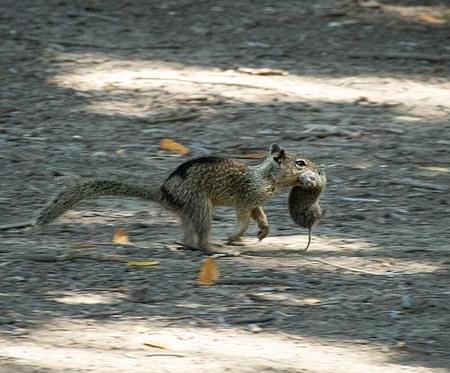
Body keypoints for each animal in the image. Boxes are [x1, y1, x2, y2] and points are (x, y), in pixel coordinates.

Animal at [1, 142, 322, 253]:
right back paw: (217, 248)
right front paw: (235, 236)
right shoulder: (245, 198)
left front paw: (263, 231)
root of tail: (165, 193)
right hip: (200, 205)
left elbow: (260, 215)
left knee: (187, 237)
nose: (320, 169)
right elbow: (243, 218)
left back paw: (190, 245)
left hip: (190, 211)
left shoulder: (256, 201)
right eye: (300, 163)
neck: (266, 177)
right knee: (201, 239)